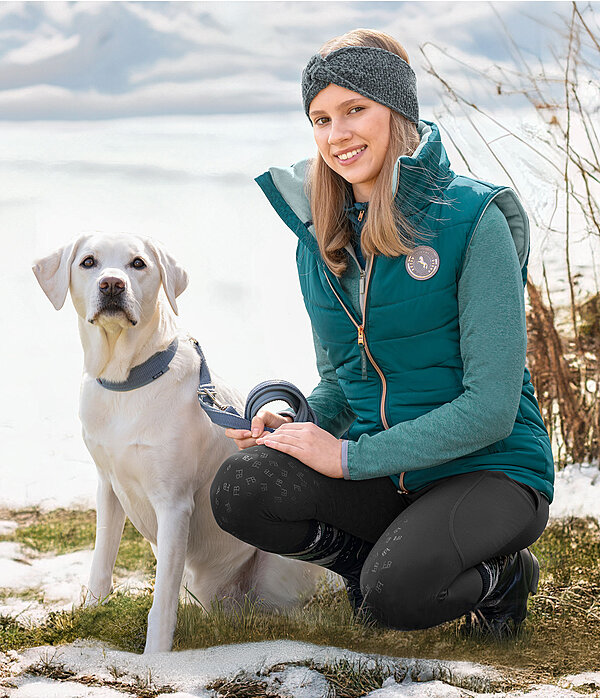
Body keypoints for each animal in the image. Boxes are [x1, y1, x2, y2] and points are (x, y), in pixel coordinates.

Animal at [32, 232, 322, 652]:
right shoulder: (108, 488)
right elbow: (101, 566)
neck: (127, 382)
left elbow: (162, 601)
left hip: (279, 565)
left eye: (138, 264)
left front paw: (155, 655)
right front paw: (89, 615)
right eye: (88, 262)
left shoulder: (173, 505)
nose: (112, 284)